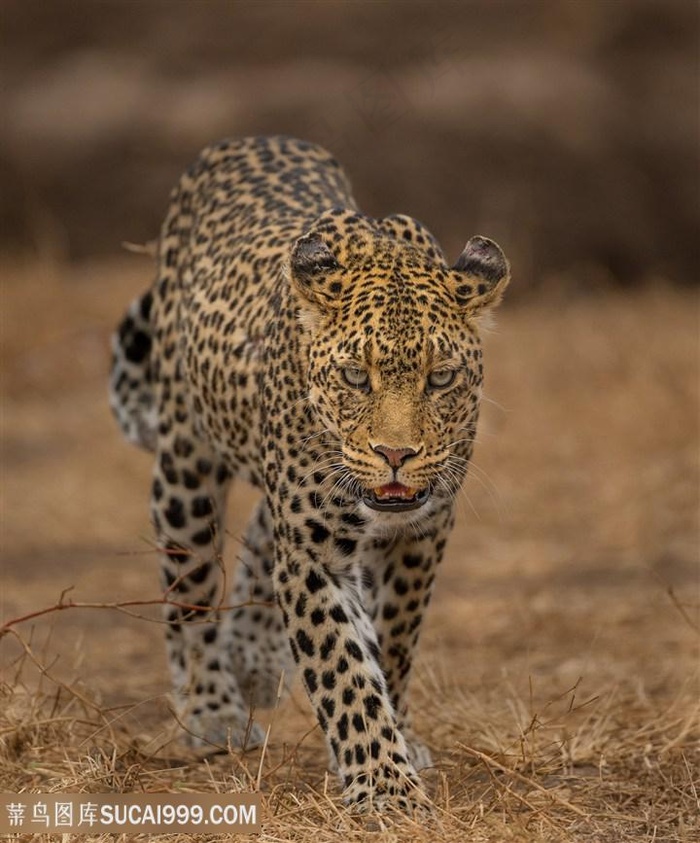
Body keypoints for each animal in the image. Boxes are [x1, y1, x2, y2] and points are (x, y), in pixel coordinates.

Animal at [112, 135, 512, 816]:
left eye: (441, 378)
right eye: (355, 376)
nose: (396, 454)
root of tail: (247, 138)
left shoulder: (421, 533)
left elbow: (393, 643)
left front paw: (398, 740)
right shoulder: (314, 552)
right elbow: (343, 670)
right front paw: (385, 788)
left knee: (257, 534)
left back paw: (251, 658)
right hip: (186, 465)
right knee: (188, 585)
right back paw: (211, 708)